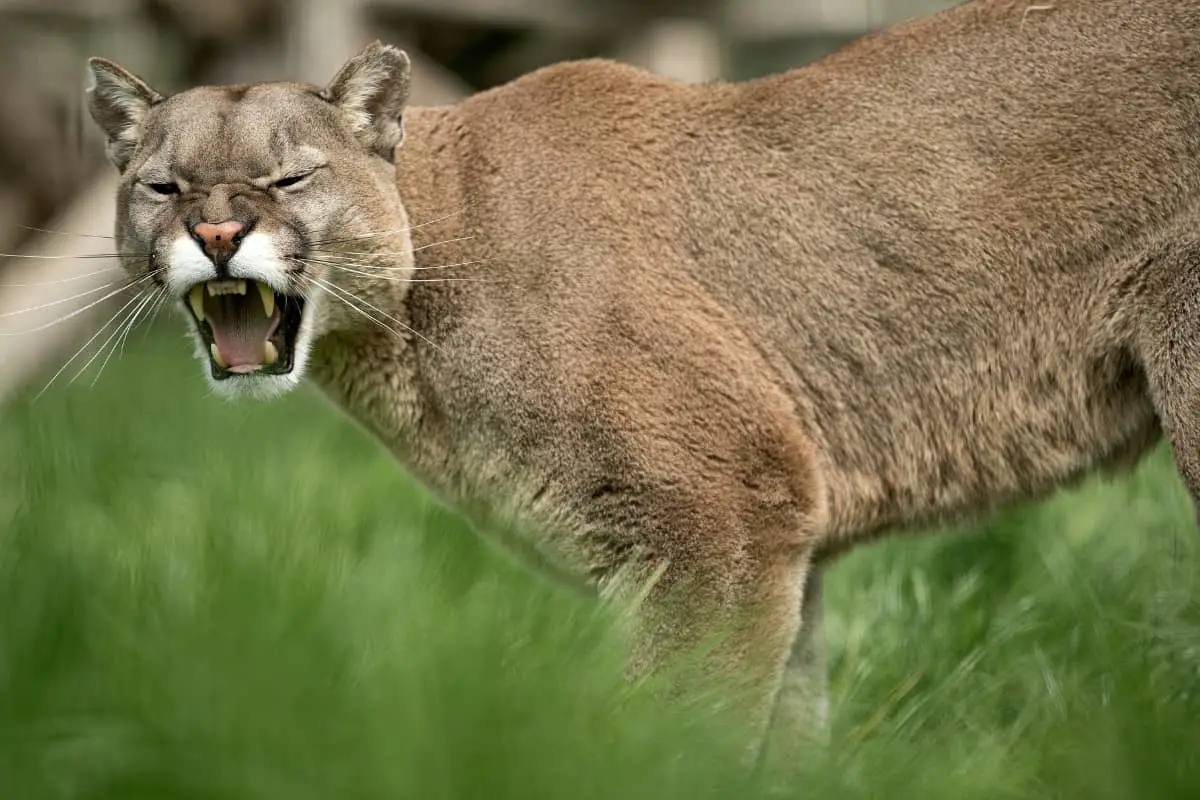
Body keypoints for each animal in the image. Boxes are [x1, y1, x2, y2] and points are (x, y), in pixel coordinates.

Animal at [88, 0, 1200, 762]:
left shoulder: (721, 513)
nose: (216, 233)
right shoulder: (776, 537)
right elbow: (780, 723)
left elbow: (675, 722)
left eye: (288, 178)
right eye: (163, 186)